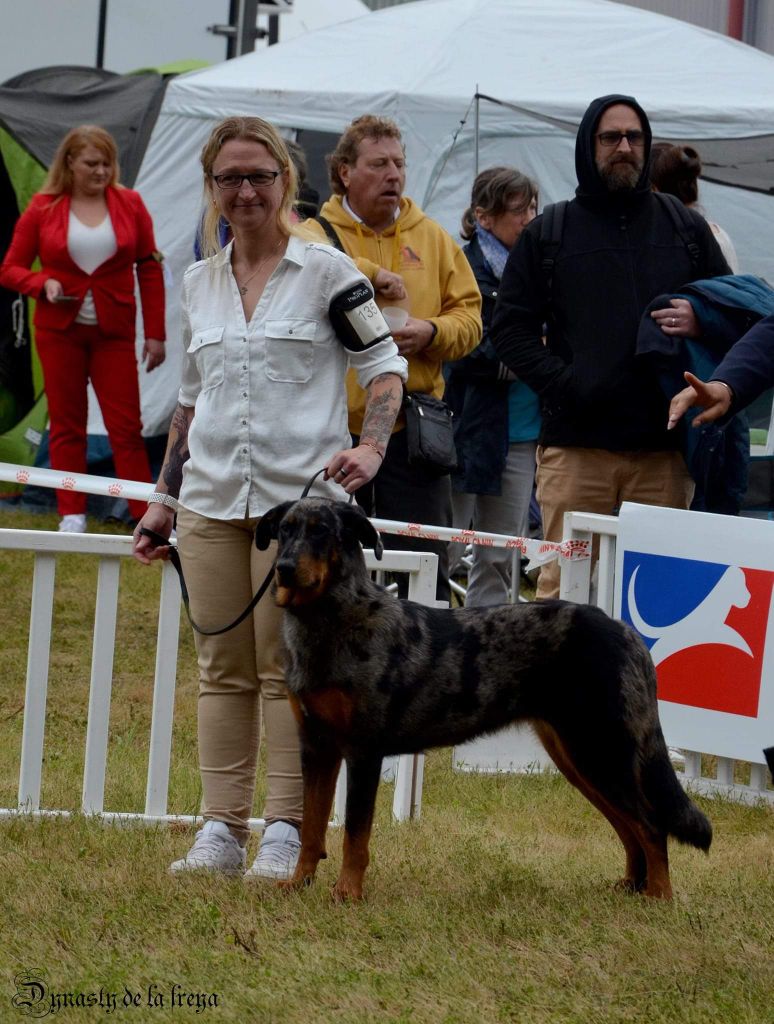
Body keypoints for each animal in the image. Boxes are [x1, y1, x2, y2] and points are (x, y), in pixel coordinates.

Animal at [255, 499, 712, 901]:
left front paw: (346, 893)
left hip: (600, 751)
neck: (334, 618)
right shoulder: (316, 747)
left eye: (321, 532)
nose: (284, 569)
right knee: (628, 826)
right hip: (580, 757)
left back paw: (659, 897)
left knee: (650, 825)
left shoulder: (363, 752)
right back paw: (632, 887)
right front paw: (297, 885)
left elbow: (354, 834)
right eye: (285, 531)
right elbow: (313, 826)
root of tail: (626, 633)